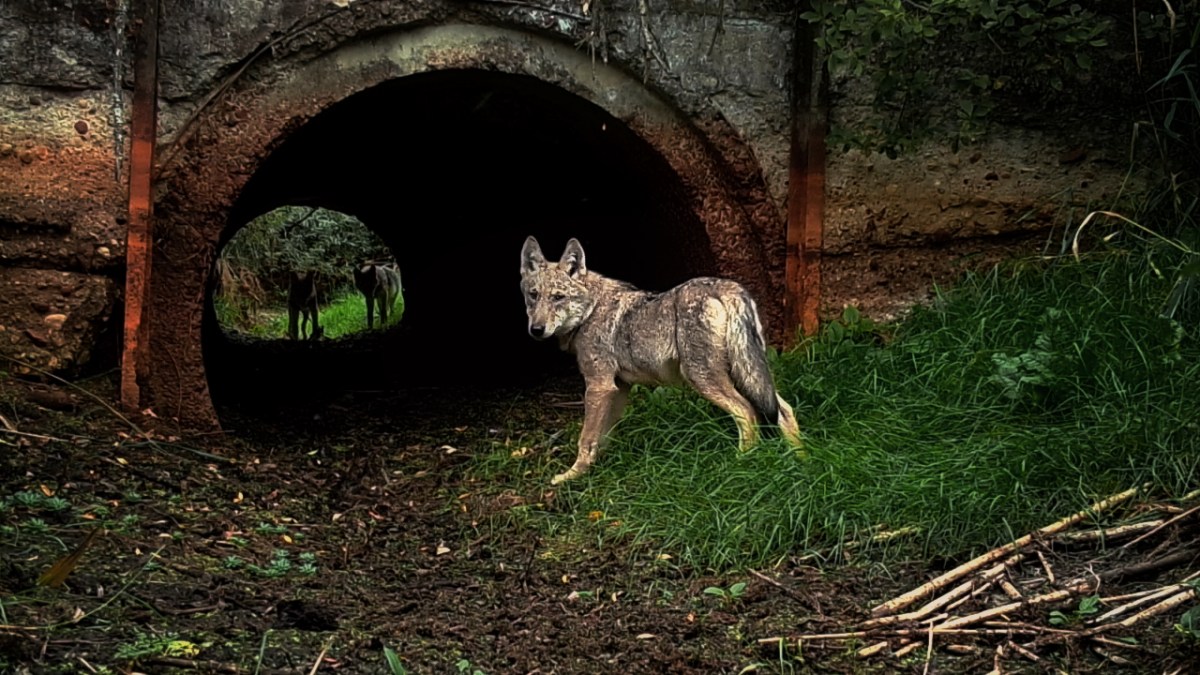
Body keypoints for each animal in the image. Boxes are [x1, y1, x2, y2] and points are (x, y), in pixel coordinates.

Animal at [519, 236, 804, 485]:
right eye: (533, 295)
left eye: (558, 297)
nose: (536, 330)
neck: (590, 310)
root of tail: (727, 287)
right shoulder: (619, 388)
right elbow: (603, 436)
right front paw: (599, 467)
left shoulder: (599, 386)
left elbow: (586, 438)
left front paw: (571, 476)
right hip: (747, 375)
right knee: (784, 410)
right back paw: (800, 460)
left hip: (703, 378)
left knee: (747, 413)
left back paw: (740, 464)